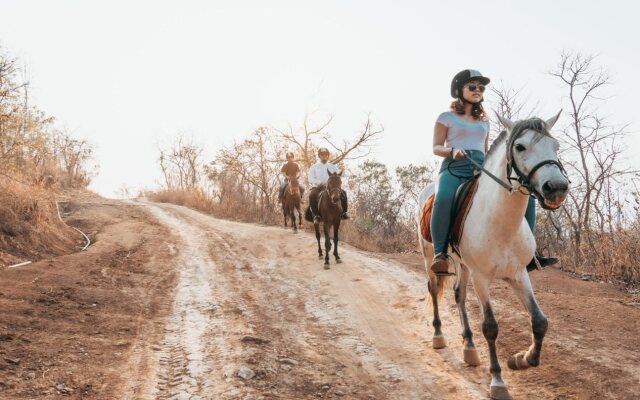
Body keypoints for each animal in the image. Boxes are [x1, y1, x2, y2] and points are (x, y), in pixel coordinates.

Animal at [420, 113, 568, 400]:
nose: (556, 187)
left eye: (556, 146)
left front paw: (521, 359)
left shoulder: (519, 274)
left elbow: (540, 322)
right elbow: (490, 327)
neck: (501, 224)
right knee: (434, 289)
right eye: (519, 147)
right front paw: (498, 380)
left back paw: (469, 347)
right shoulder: (482, 278)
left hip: (463, 264)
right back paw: (438, 336)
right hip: (430, 256)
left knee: (458, 294)